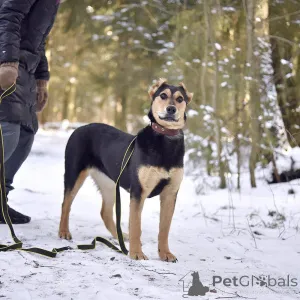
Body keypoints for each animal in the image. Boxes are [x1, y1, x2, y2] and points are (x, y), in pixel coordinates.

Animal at [59, 78, 193, 262]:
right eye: (163, 96)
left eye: (180, 99)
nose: (171, 109)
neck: (165, 140)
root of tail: (81, 127)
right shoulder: (138, 191)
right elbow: (136, 225)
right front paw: (136, 253)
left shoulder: (170, 193)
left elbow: (164, 229)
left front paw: (165, 253)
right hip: (74, 173)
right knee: (66, 203)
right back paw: (64, 232)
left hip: (108, 184)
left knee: (105, 212)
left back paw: (120, 237)